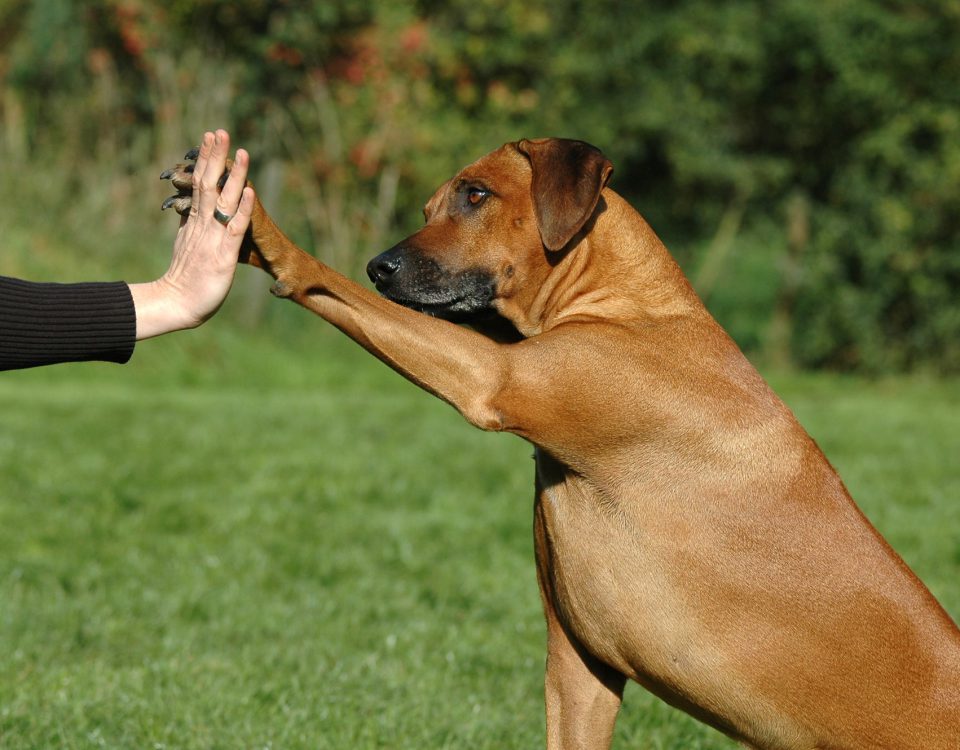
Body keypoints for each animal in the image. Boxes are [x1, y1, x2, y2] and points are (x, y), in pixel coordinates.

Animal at [167, 140, 960, 748]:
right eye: (428, 209)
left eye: (476, 195)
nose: (378, 267)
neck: (628, 306)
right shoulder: (579, 665)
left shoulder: (493, 378)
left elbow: (327, 284)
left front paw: (258, 231)